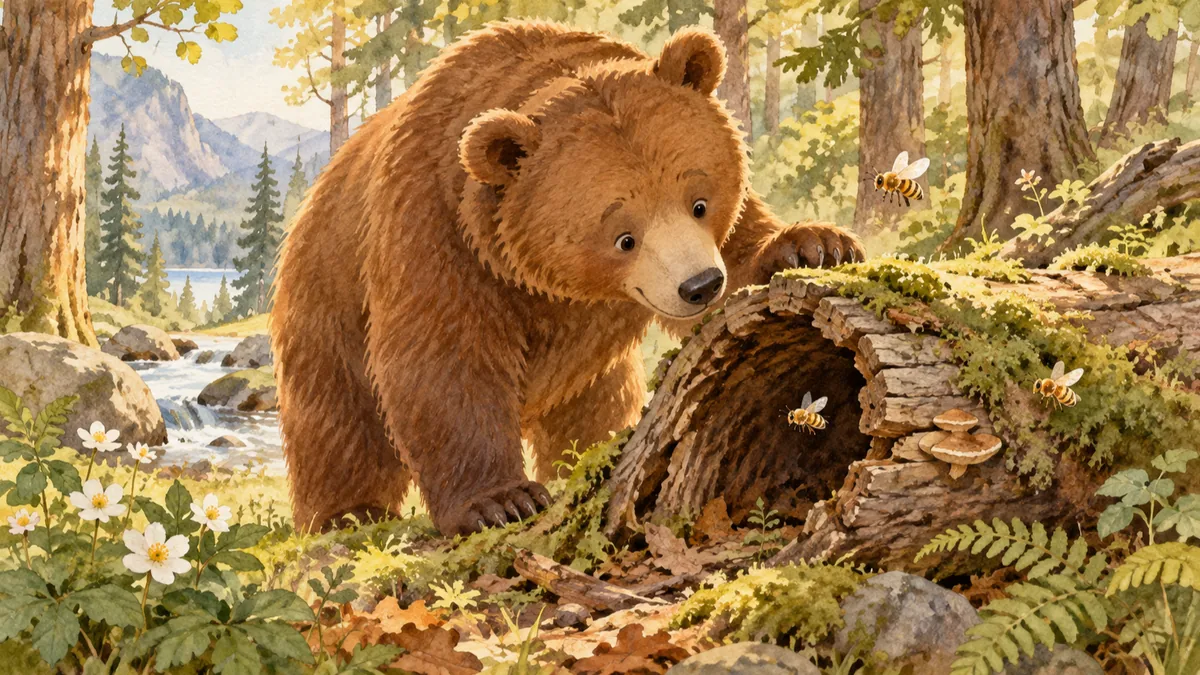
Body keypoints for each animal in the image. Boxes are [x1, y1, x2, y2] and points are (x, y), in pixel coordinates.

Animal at [271, 20, 865, 536]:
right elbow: (442, 358)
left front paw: (813, 245)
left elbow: (745, 243)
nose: (699, 286)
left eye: (699, 201)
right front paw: (500, 500)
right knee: (339, 423)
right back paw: (349, 514)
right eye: (624, 237)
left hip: (590, 375)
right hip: (326, 304)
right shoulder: (437, 229)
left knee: (593, 408)